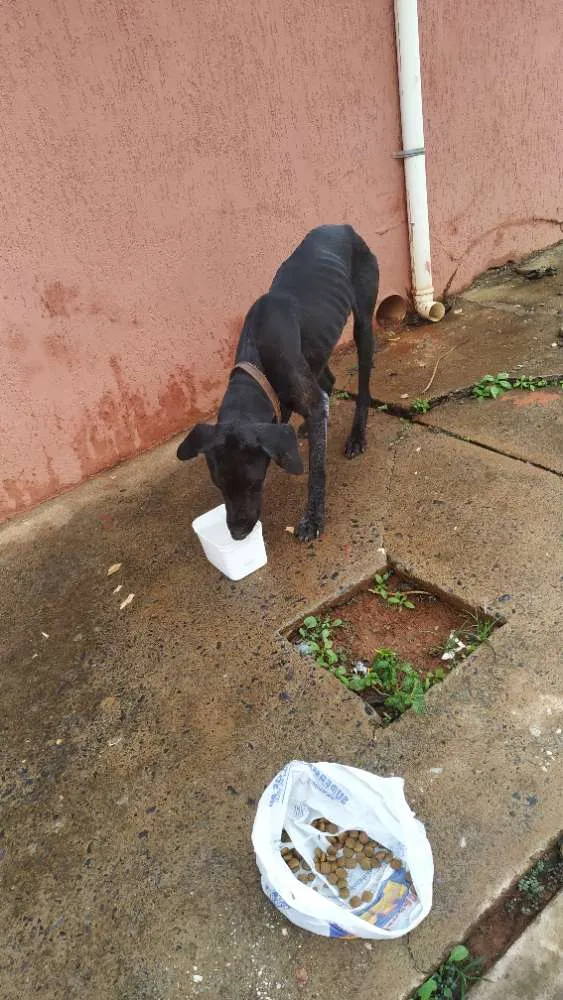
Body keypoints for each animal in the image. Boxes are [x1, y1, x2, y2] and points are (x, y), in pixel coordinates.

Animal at [176, 224, 378, 544]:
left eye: (253, 482)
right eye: (218, 484)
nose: (237, 534)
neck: (257, 361)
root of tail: (343, 227)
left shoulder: (307, 395)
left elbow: (316, 470)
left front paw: (313, 518)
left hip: (363, 324)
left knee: (363, 383)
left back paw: (356, 436)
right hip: (315, 351)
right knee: (328, 381)